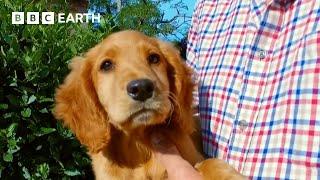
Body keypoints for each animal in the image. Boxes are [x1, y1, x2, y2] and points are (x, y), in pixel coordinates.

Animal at [55, 30, 245, 179]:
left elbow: (209, 163)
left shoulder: (195, 157)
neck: (139, 146)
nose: (141, 88)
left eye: (154, 58)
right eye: (106, 65)